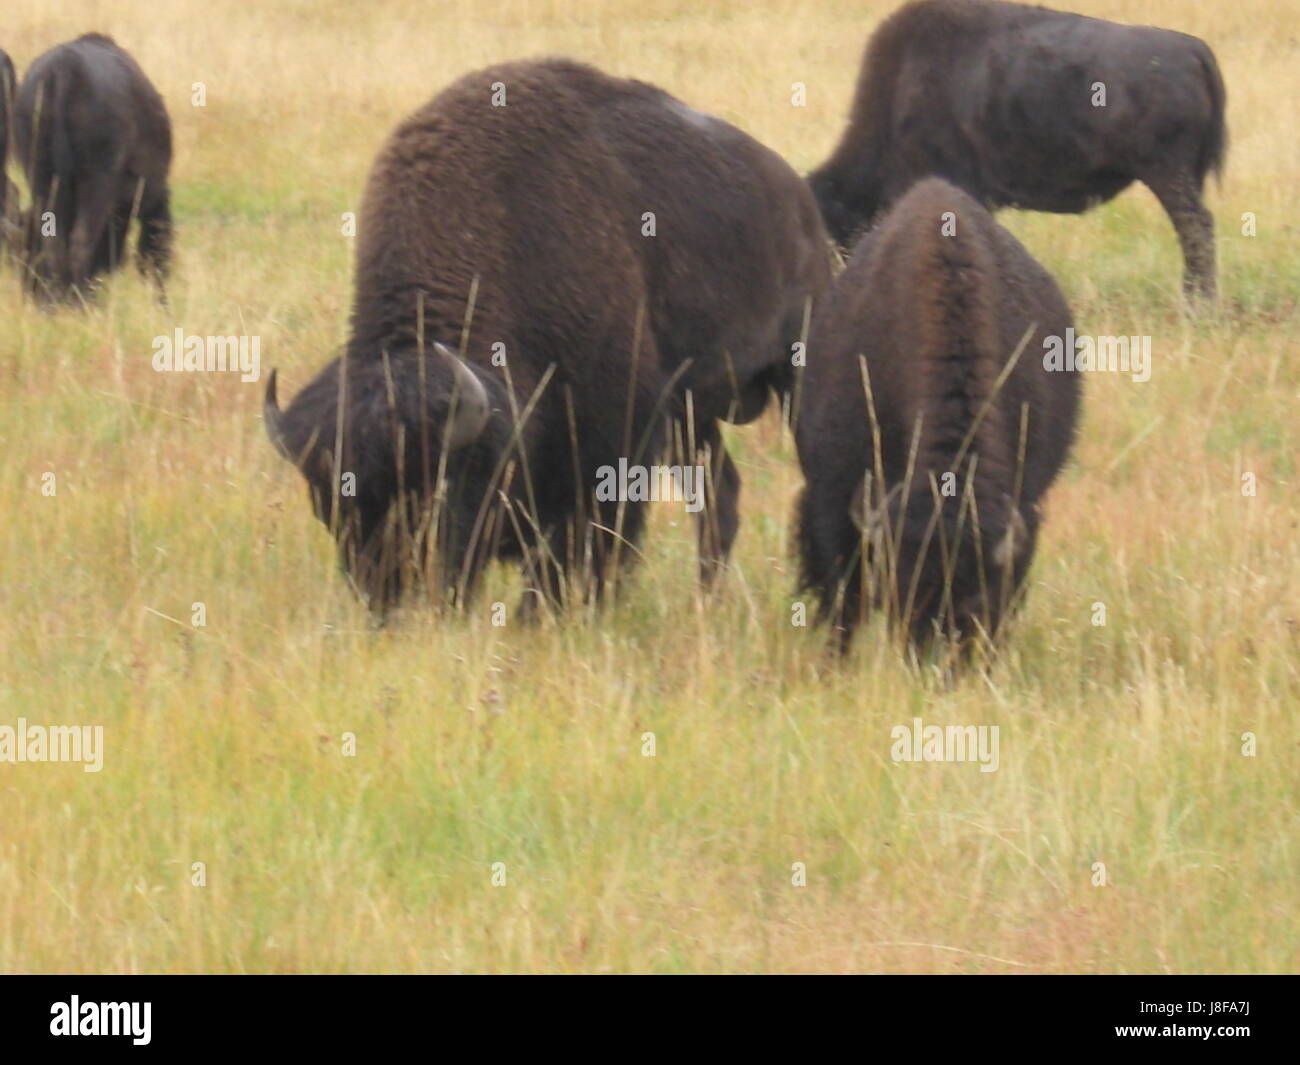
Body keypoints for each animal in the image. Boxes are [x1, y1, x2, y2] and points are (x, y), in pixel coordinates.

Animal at [14, 35, 172, 301]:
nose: (29, 292)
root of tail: (64, 68)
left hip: (42, 177)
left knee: (55, 243)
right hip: (96, 184)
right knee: (82, 242)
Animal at [265, 58, 832, 621]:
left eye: (432, 493)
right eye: (329, 504)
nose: (388, 603)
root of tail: (799, 202)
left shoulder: (618, 429)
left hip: (789, 371)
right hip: (692, 416)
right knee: (720, 495)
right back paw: (704, 603)